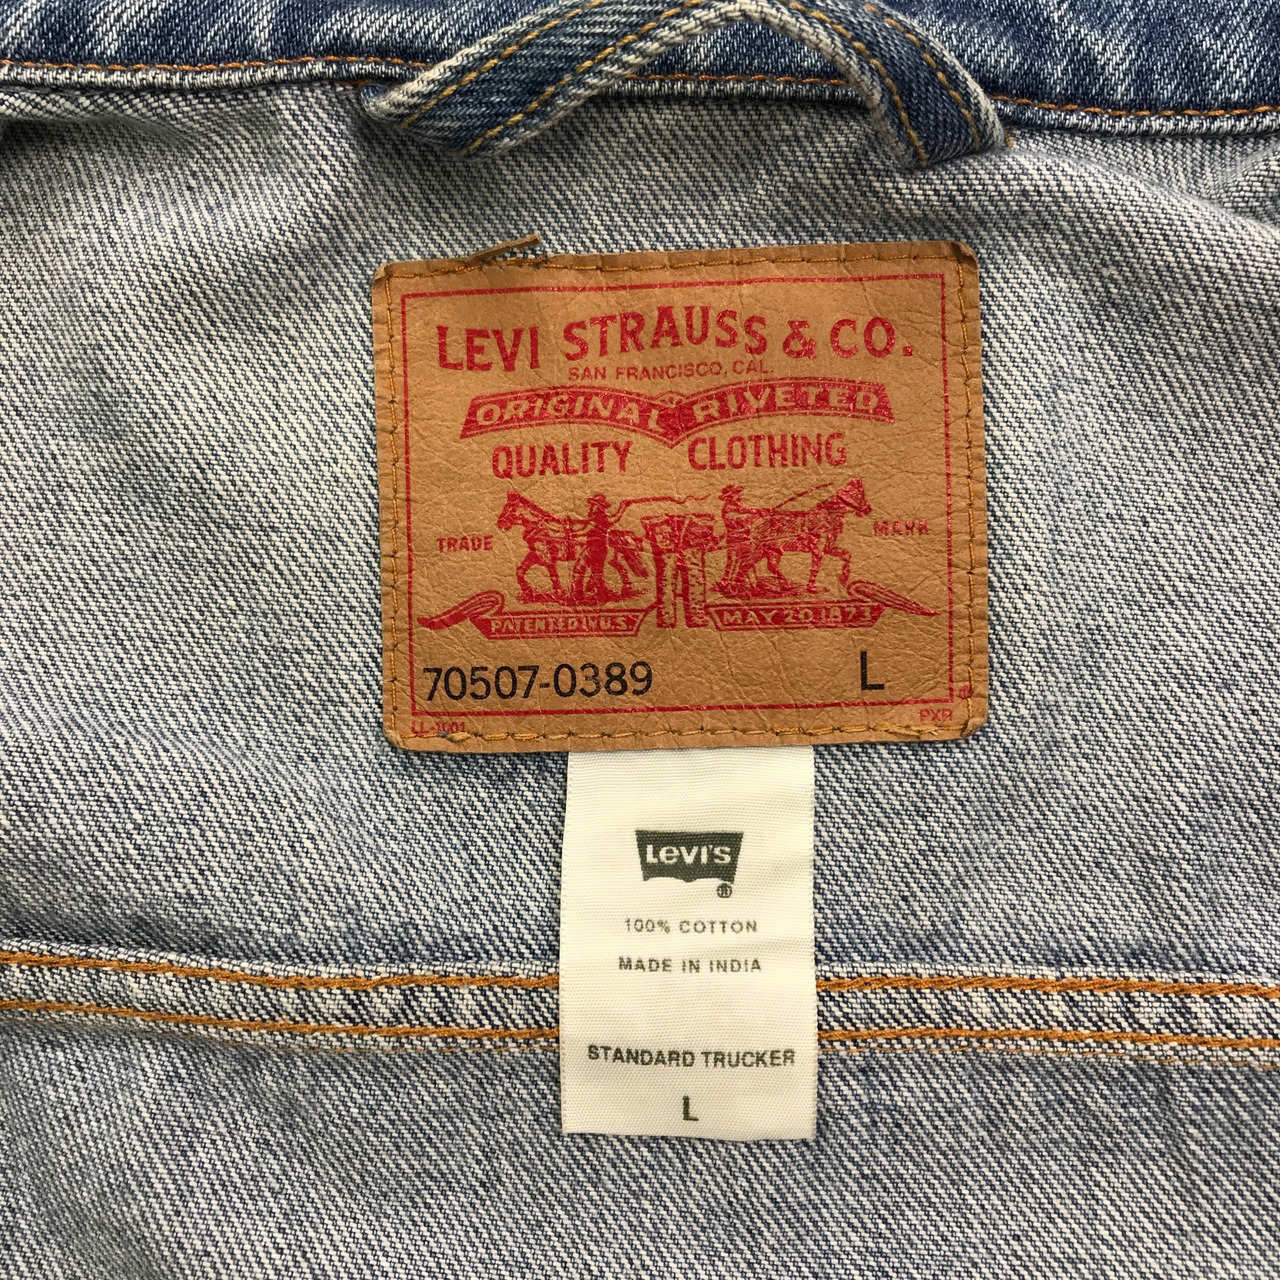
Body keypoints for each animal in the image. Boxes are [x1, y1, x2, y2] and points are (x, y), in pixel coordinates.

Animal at [715, 479, 873, 598]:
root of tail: (756, 529)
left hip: (773, 551)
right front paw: (812, 588)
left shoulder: (829, 547)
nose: (868, 509)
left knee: (767, 566)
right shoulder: (817, 550)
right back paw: (740, 589)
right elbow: (815, 568)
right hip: (759, 551)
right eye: (861, 495)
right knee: (744, 565)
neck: (827, 516)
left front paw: (843, 578)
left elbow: (847, 554)